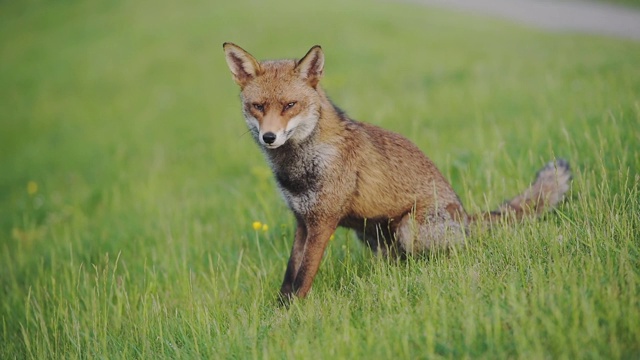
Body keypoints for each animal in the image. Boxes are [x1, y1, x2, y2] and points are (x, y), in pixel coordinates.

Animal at [222, 42, 572, 300]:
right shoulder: (302, 221)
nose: (269, 137)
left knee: (457, 250)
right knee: (398, 262)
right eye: (258, 107)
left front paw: (291, 317)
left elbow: (303, 277)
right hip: (370, 234)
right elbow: (289, 276)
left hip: (409, 228)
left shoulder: (323, 221)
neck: (299, 166)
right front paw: (278, 312)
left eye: (289, 105)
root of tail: (464, 214)